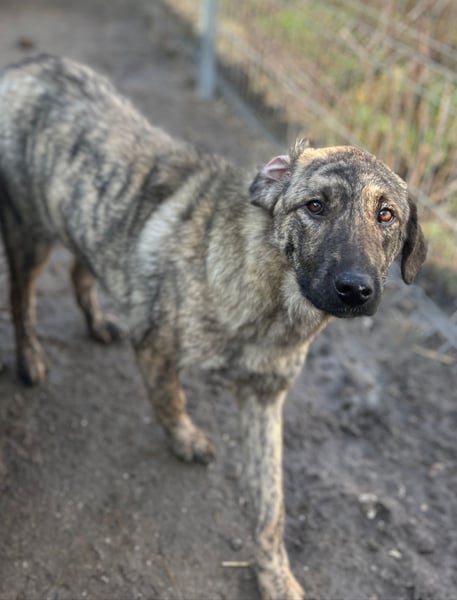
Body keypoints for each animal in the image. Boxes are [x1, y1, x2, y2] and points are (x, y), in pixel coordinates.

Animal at [0, 55, 426, 599]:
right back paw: (30, 356)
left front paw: (275, 574)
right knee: (21, 298)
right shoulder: (156, 348)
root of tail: (29, 62)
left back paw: (96, 321)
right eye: (315, 206)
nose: (355, 289)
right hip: (29, 237)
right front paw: (185, 440)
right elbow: (170, 399)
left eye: (386, 215)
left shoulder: (265, 400)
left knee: (83, 268)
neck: (271, 307)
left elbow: (272, 505)